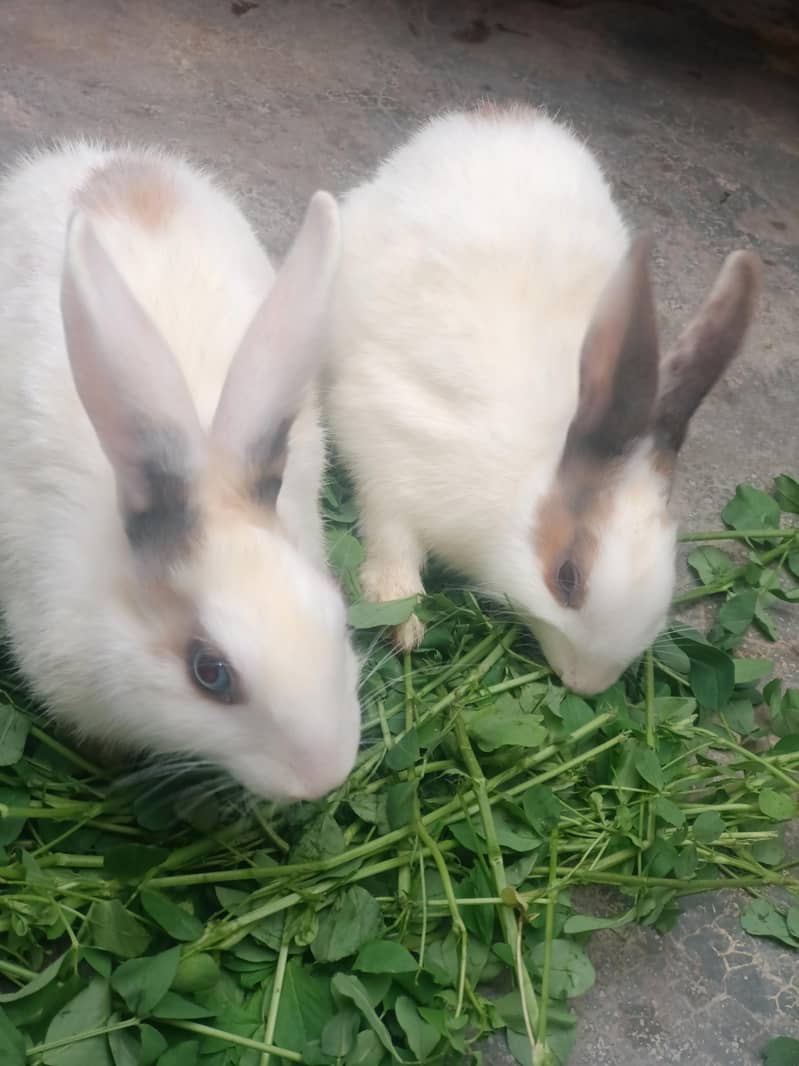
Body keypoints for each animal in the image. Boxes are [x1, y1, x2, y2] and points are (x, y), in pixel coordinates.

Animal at [323, 103, 761, 695]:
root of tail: (500, 116)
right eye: (566, 578)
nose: (587, 685)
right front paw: (404, 625)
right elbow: (392, 543)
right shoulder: (388, 456)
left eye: (670, 568)